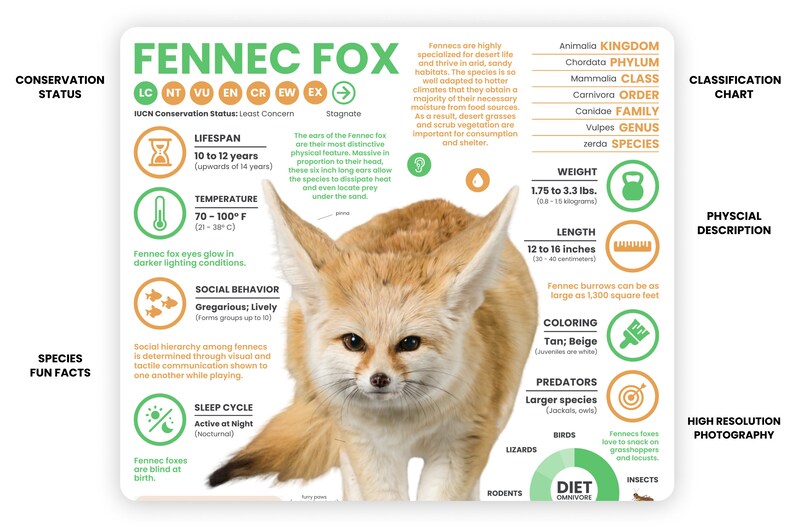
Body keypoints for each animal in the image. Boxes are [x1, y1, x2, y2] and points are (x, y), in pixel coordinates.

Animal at [208, 180, 538, 500]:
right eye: (354, 341)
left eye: (409, 343)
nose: (379, 379)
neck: (404, 426)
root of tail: (436, 202)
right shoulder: (370, 448)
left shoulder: (462, 443)